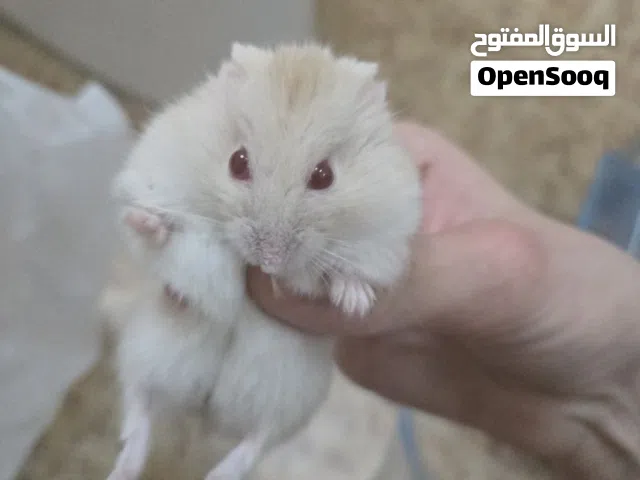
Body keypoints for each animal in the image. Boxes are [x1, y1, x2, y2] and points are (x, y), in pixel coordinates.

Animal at [105, 42, 422, 480]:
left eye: (324, 175)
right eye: (237, 162)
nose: (269, 261)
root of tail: (204, 416)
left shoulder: (383, 238)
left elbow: (349, 271)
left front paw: (355, 303)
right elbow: (158, 236)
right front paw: (146, 219)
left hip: (289, 398)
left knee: (256, 441)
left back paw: (216, 474)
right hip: (146, 349)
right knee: (140, 406)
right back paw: (126, 467)